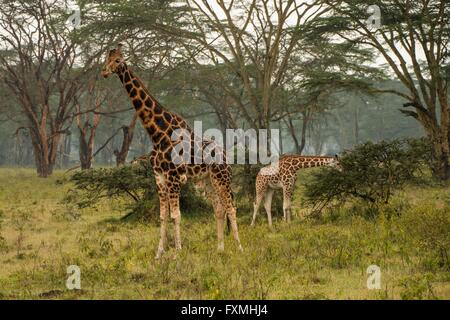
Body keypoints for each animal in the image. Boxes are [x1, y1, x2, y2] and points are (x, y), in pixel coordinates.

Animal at [102, 44, 243, 258]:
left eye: (118, 60)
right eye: (106, 59)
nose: (104, 72)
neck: (157, 134)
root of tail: (225, 154)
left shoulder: (174, 178)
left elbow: (176, 215)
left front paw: (178, 252)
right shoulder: (159, 177)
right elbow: (163, 216)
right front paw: (159, 253)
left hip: (222, 177)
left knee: (231, 207)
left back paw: (239, 247)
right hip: (206, 181)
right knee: (219, 209)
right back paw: (219, 248)